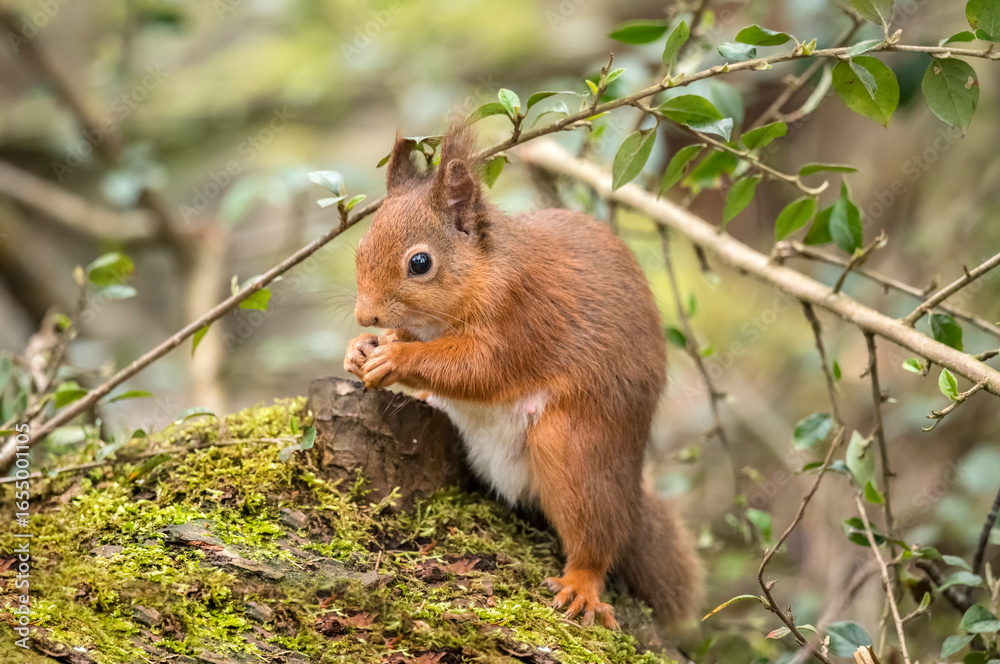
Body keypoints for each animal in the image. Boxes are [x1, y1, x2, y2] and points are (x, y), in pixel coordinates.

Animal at [343, 123, 702, 629]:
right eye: (361, 246)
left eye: (420, 263)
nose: (365, 316)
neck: (484, 270)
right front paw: (360, 350)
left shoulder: (520, 317)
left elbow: (478, 369)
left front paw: (396, 359)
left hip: (576, 449)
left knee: (596, 531)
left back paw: (581, 585)